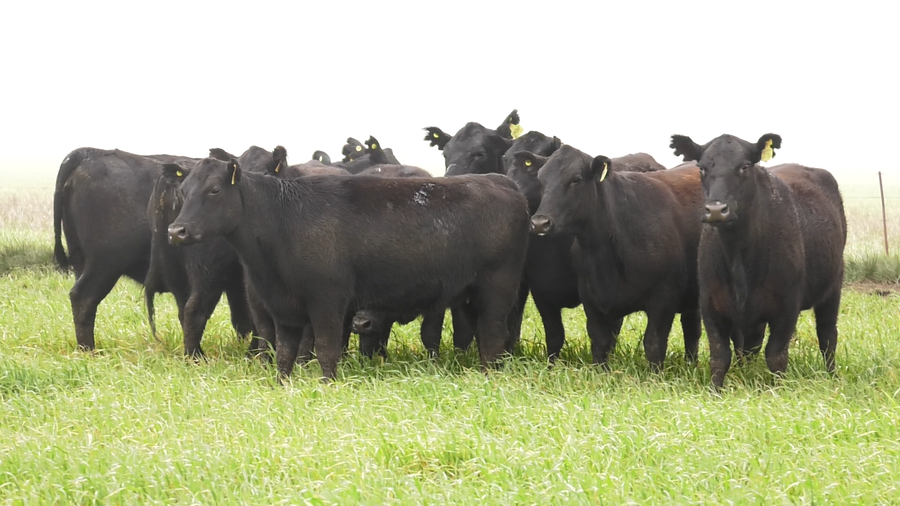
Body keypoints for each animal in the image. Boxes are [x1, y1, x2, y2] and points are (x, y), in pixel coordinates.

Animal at [165, 158, 530, 381]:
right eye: (183, 191)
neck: (284, 219)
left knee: (493, 335)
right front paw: (282, 384)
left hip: (497, 289)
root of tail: (502, 182)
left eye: (214, 190)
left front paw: (326, 385)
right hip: (468, 294)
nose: (176, 231)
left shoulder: (328, 300)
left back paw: (488, 376)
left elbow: (326, 349)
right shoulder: (282, 306)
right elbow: (283, 352)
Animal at [530, 144, 703, 370]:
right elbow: (600, 341)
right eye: (541, 180)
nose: (540, 223)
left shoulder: (664, 296)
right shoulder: (590, 296)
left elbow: (654, 343)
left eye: (576, 179)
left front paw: (655, 375)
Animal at [669, 133, 847, 389]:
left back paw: (831, 375)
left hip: (833, 287)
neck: (739, 258)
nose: (716, 210)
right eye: (701, 167)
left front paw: (779, 390)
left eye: (744, 166)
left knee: (827, 336)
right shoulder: (710, 305)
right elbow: (720, 356)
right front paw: (715, 391)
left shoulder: (787, 306)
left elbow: (776, 356)